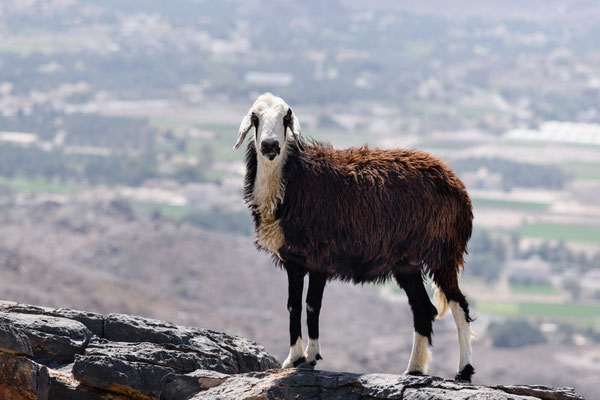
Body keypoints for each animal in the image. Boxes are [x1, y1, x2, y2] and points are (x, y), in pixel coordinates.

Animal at [233, 93, 474, 382]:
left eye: (286, 118)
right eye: (255, 117)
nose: (270, 146)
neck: (293, 181)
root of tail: (454, 182)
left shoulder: (319, 257)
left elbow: (312, 305)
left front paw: (310, 358)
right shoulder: (294, 261)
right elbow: (293, 306)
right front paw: (293, 359)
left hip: (443, 251)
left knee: (459, 304)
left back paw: (463, 371)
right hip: (407, 263)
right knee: (423, 309)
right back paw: (414, 369)